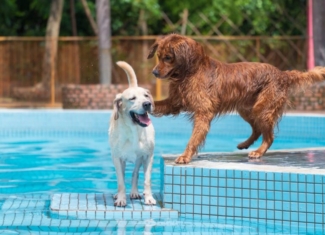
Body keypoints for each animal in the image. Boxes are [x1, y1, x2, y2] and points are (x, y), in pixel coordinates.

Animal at [107, 61, 156, 207]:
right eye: (132, 98)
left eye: (146, 95)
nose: (147, 104)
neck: (134, 130)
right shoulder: (117, 158)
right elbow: (121, 182)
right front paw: (121, 199)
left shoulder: (148, 156)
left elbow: (147, 179)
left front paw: (149, 197)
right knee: (122, 176)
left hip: (139, 159)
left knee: (135, 174)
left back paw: (134, 192)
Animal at [147, 34, 324, 164]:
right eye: (158, 56)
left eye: (168, 57)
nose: (154, 72)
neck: (190, 72)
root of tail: (283, 74)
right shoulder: (174, 103)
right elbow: (157, 104)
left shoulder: (203, 111)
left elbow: (194, 138)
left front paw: (185, 156)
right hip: (246, 109)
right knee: (257, 129)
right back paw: (245, 144)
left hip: (262, 108)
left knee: (269, 136)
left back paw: (258, 151)